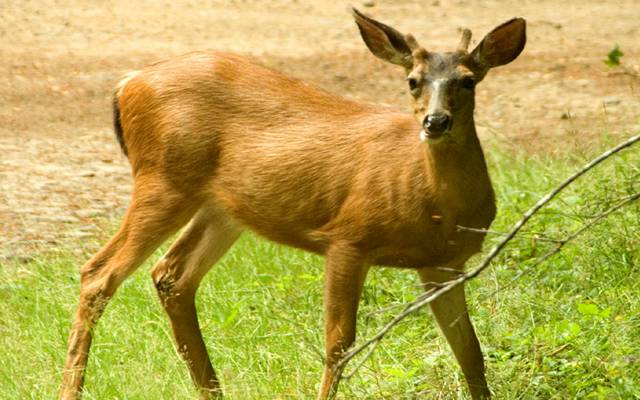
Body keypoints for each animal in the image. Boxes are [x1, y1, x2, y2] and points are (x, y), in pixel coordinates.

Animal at [59, 8, 525, 400]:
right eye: (412, 80)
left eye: (468, 80)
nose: (435, 122)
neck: (437, 208)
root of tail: (128, 82)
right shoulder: (349, 238)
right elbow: (339, 342)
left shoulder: (443, 263)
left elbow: (469, 349)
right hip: (162, 180)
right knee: (97, 274)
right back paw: (71, 390)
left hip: (221, 208)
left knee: (170, 275)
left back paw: (213, 391)